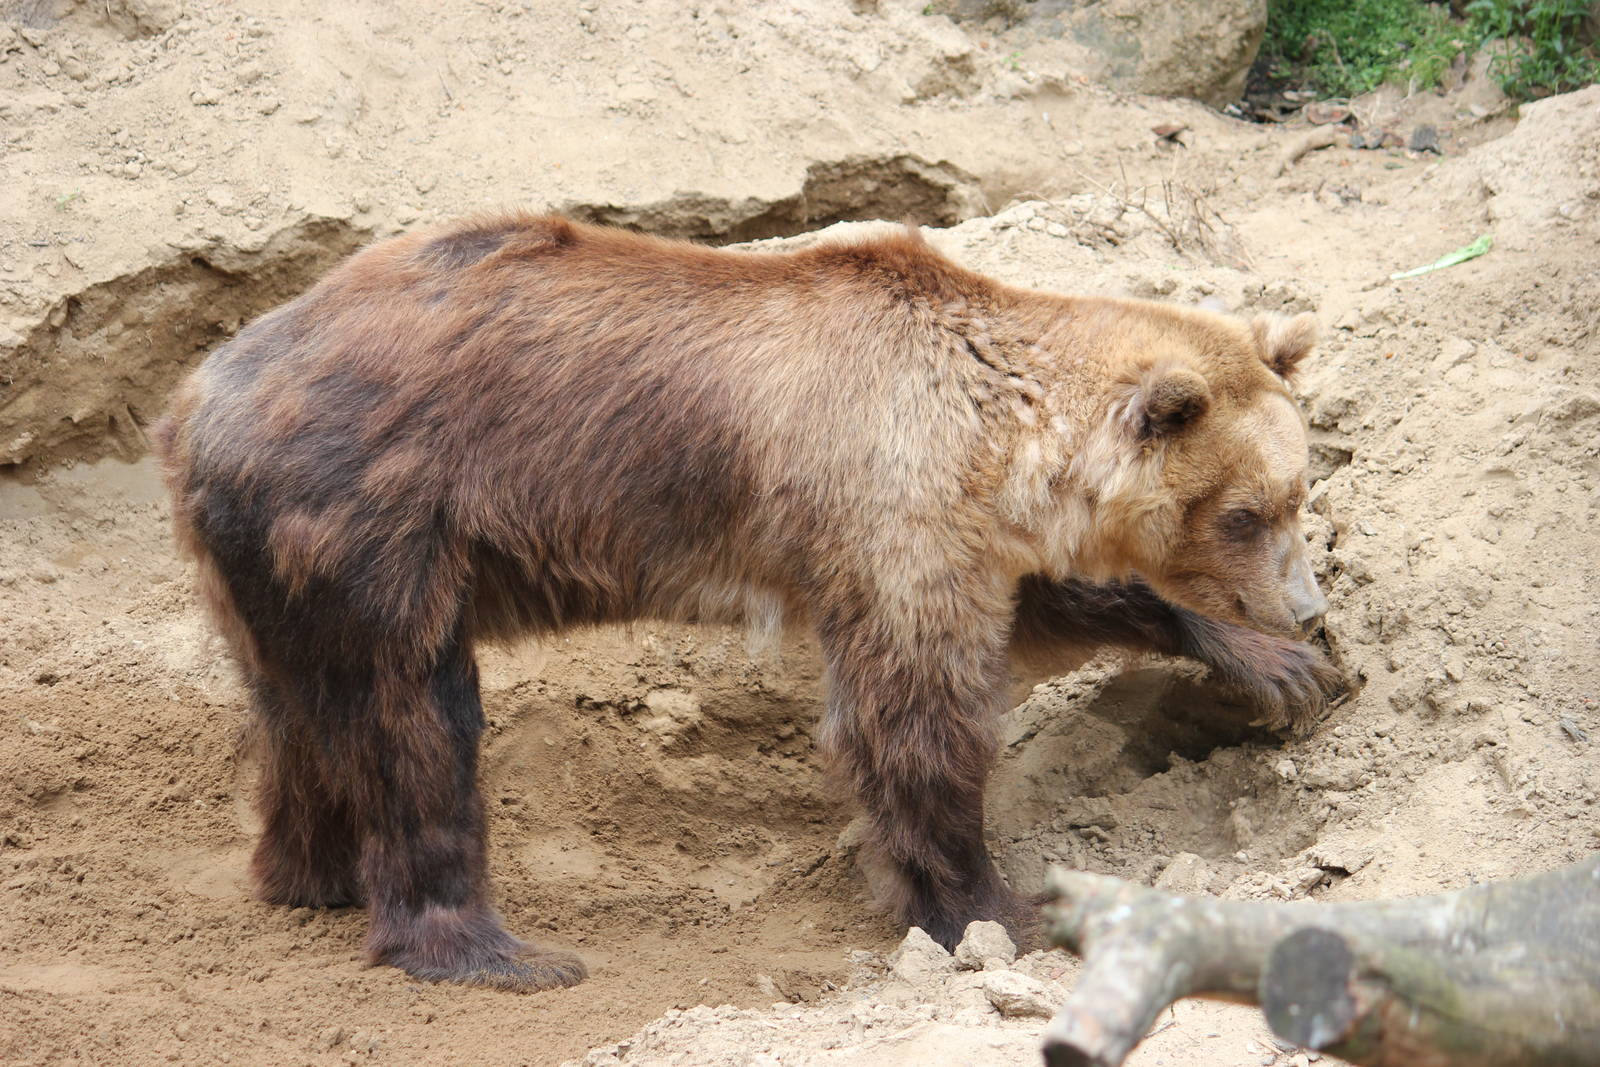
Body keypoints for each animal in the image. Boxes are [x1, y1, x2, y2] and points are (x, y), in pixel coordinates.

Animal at [153, 213, 1335, 992]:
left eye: (1298, 491)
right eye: (1246, 511)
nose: (1305, 605)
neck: (1004, 441)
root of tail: (198, 388)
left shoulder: (955, 533)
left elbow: (1056, 603)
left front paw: (1276, 666)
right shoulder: (887, 498)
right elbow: (916, 714)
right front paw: (991, 911)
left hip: (266, 552)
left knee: (301, 707)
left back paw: (310, 875)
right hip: (371, 512)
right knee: (413, 718)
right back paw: (489, 948)